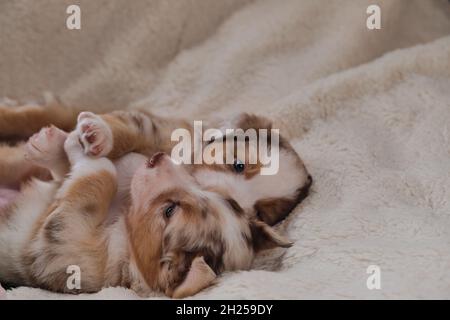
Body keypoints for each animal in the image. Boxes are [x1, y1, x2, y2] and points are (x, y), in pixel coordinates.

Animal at [0, 122, 292, 298]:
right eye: (207, 192)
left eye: (169, 211)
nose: (157, 157)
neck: (122, 224)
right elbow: (74, 172)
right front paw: (57, 143)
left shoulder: (64, 241)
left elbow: (101, 174)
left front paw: (76, 146)